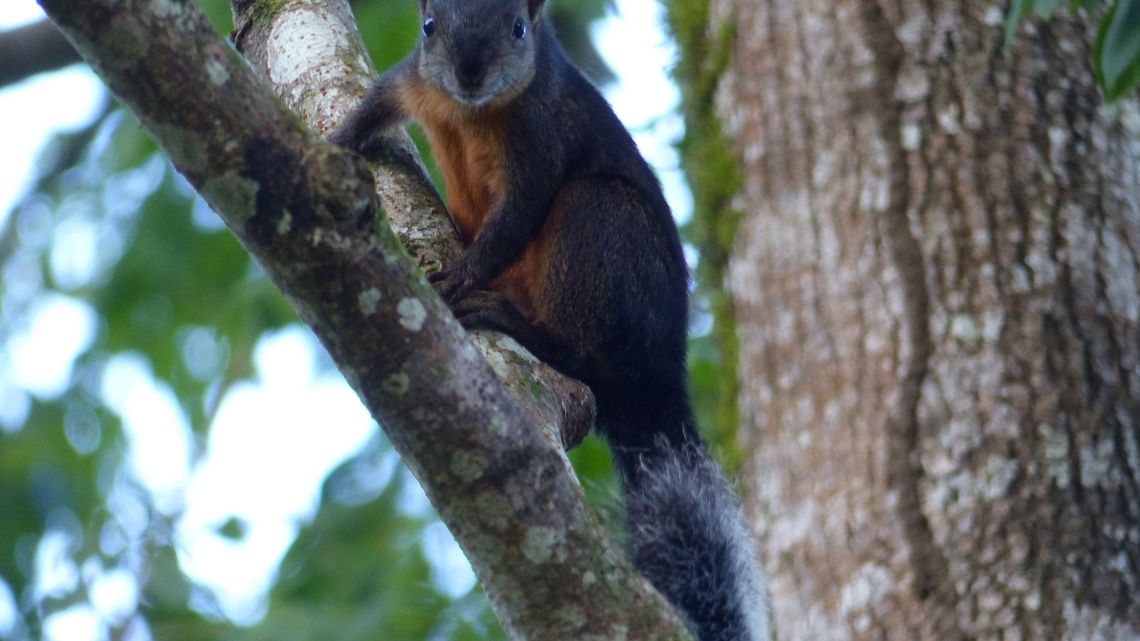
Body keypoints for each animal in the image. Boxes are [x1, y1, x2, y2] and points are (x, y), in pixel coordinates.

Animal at [332, 1, 770, 638]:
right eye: (429, 26)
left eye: (518, 28)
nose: (469, 72)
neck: (474, 112)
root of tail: (658, 375)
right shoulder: (412, 80)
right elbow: (373, 105)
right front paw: (331, 140)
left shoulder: (544, 139)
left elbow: (518, 216)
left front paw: (464, 275)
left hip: (602, 228)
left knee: (580, 345)